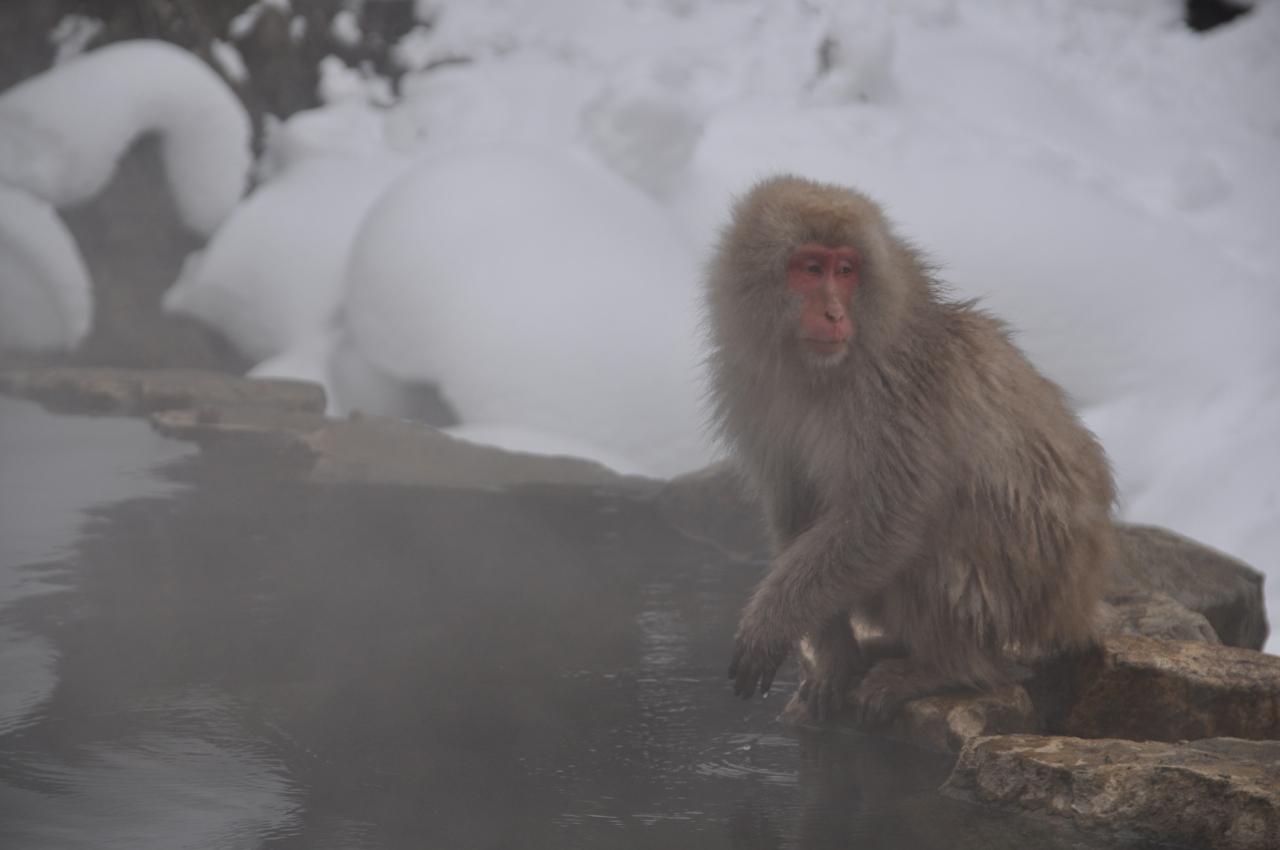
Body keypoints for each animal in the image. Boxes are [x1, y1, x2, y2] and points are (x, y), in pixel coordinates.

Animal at [706, 175, 1116, 721]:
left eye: (846, 270)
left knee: (936, 539)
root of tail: (1077, 601)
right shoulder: (754, 392)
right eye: (811, 269)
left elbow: (882, 520)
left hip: (1023, 589)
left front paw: (770, 624)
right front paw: (833, 657)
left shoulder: (890, 394)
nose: (834, 313)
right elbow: (796, 506)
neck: (823, 375)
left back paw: (946, 667)